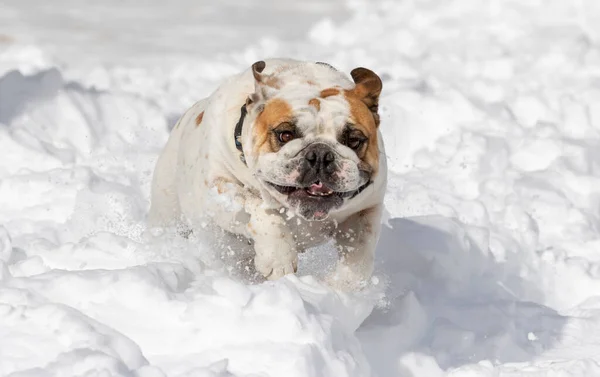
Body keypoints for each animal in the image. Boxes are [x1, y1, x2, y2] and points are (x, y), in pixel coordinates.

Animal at [148, 58, 386, 288]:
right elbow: (259, 208)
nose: (320, 154)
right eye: (285, 135)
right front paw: (278, 259)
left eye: (354, 140)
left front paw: (344, 288)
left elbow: (359, 253)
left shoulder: (365, 210)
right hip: (169, 211)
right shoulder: (218, 189)